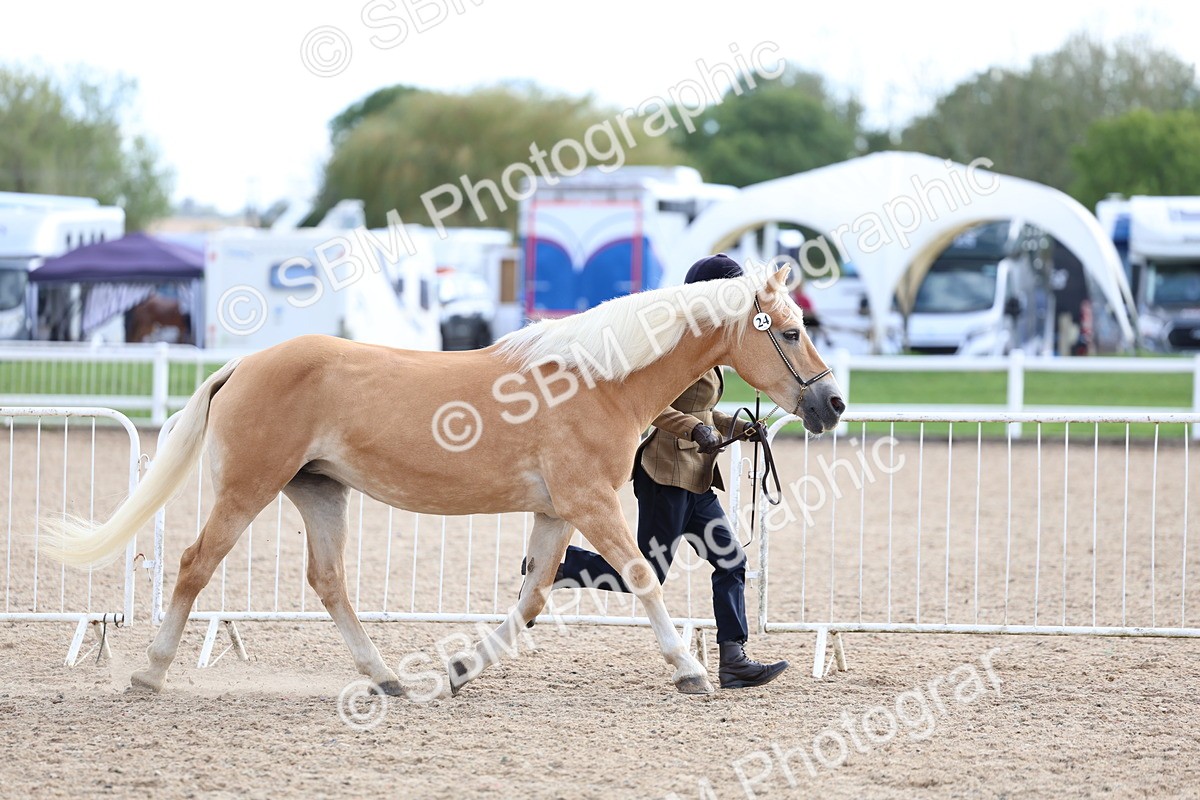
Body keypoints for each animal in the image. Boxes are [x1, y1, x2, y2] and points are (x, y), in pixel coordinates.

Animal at [43, 265, 844, 697]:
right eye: (792, 330)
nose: (832, 404)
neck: (596, 379)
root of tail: (244, 363)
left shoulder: (558, 512)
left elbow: (532, 597)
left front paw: (459, 668)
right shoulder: (590, 504)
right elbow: (643, 579)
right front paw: (689, 671)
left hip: (319, 491)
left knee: (328, 582)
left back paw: (386, 678)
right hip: (248, 489)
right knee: (193, 564)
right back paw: (148, 676)